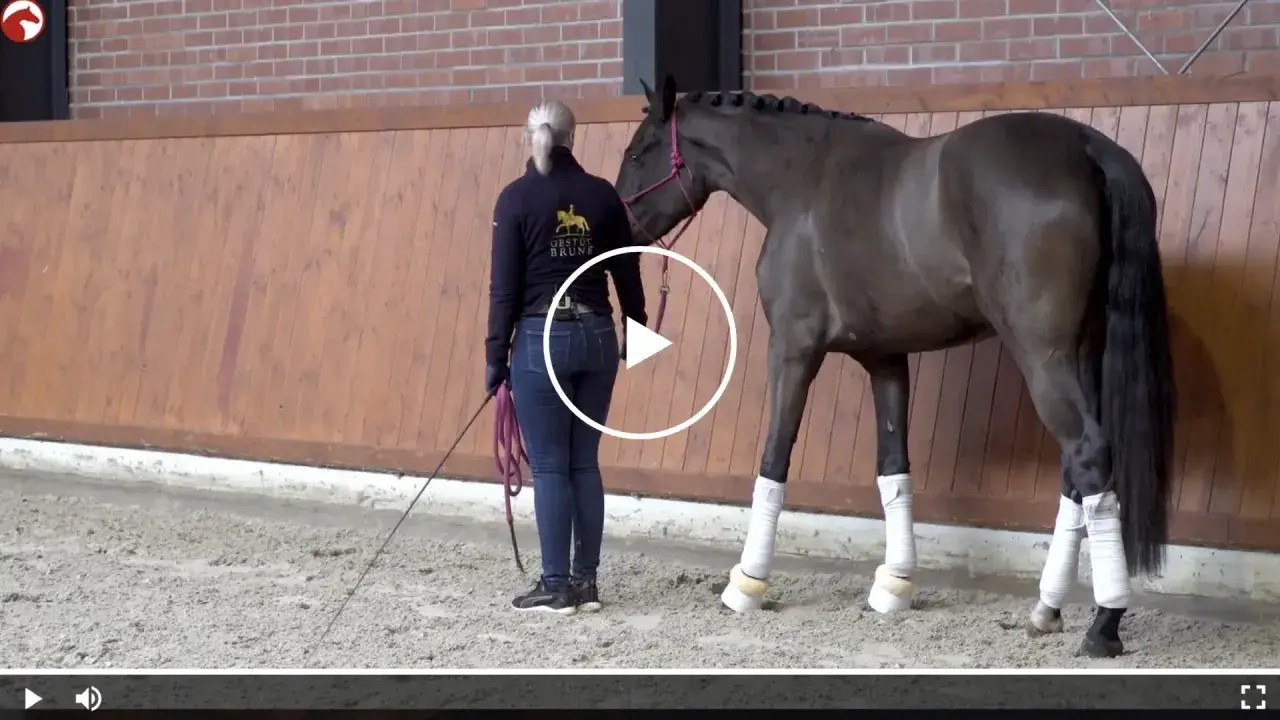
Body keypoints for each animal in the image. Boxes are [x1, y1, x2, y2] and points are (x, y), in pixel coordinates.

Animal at [614, 76, 1174, 659]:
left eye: (636, 152)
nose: (617, 226)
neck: (803, 180)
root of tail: (1087, 148)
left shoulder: (792, 348)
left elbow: (774, 460)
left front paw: (747, 583)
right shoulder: (884, 357)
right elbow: (893, 467)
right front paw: (895, 585)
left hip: (1043, 355)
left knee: (1087, 453)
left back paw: (1104, 622)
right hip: (1081, 353)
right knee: (1077, 470)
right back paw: (1046, 609)